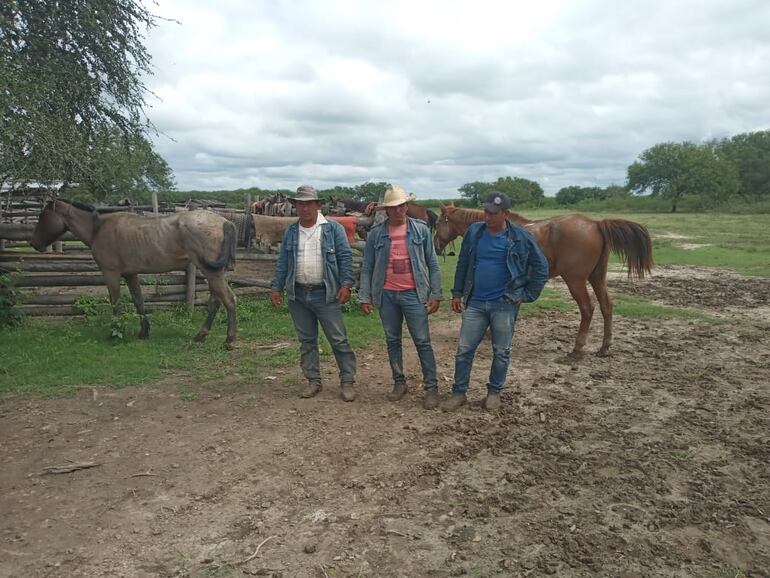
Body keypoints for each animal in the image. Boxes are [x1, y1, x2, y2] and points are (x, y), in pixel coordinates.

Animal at [30, 199, 237, 346]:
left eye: (42, 217)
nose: (34, 243)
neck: (98, 229)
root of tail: (225, 222)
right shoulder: (131, 275)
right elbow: (139, 301)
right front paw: (144, 332)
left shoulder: (111, 274)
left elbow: (116, 304)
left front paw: (116, 333)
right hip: (215, 273)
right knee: (216, 301)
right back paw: (200, 336)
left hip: (211, 272)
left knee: (228, 299)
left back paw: (229, 340)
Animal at [436, 202, 652, 356]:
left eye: (438, 223)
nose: (436, 247)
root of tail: (596, 224)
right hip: (597, 277)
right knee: (607, 306)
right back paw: (604, 347)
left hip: (575, 280)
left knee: (587, 309)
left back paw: (577, 348)